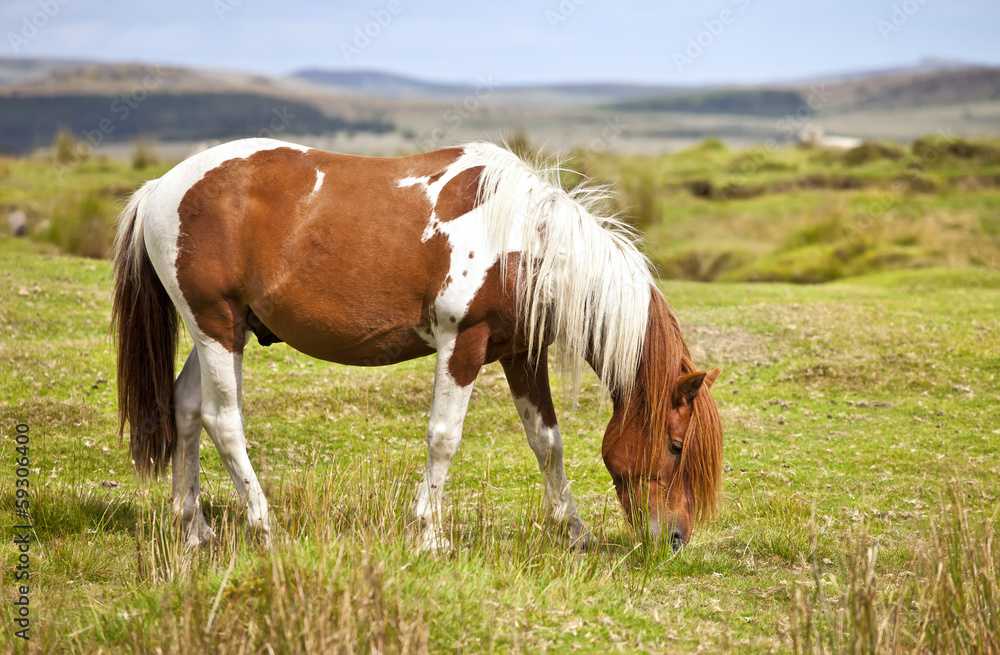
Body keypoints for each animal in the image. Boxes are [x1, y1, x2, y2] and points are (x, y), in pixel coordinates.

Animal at [111, 138, 723, 553]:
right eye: (675, 445)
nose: (675, 539)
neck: (524, 241)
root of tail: (160, 188)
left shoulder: (520, 354)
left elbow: (546, 442)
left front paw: (573, 531)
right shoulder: (463, 343)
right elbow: (444, 438)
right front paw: (429, 535)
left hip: (223, 329)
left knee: (187, 410)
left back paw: (194, 528)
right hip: (214, 326)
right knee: (224, 421)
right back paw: (264, 526)